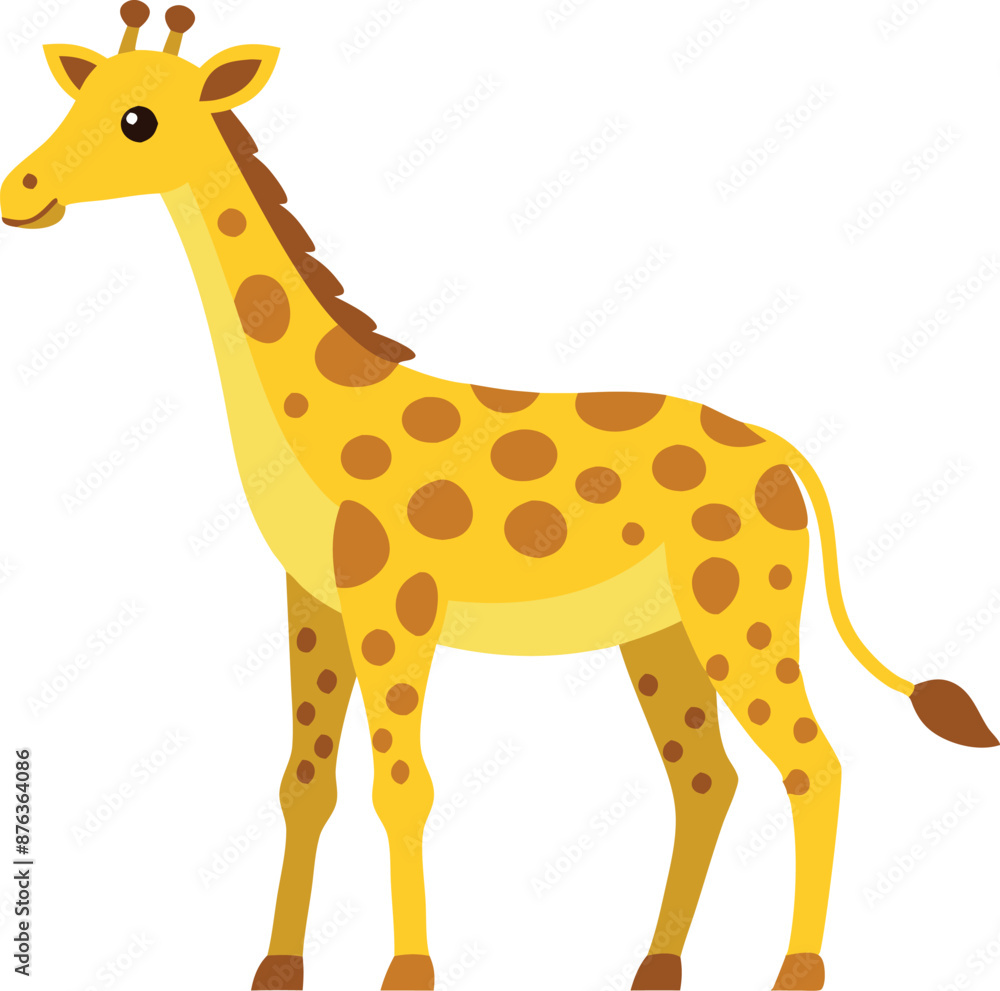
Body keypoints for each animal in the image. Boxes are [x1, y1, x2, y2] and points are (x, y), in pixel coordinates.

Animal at [2, 6, 997, 990]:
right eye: (80, 95)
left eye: (138, 120)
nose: (21, 190)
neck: (315, 419)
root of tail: (784, 456)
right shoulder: (315, 600)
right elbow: (305, 780)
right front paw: (275, 967)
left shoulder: (397, 602)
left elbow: (402, 783)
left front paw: (409, 971)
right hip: (662, 630)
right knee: (706, 776)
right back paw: (655, 966)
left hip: (742, 610)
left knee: (811, 763)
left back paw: (797, 969)